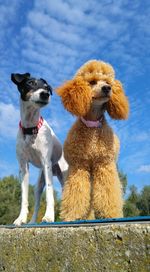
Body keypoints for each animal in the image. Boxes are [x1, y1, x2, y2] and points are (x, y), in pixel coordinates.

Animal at [11, 72, 67, 225]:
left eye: (47, 87)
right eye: (30, 83)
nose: (45, 94)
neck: (31, 128)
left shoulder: (46, 163)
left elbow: (50, 194)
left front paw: (49, 216)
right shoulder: (23, 166)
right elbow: (24, 197)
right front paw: (21, 218)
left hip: (64, 177)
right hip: (39, 183)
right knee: (36, 202)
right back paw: (32, 222)